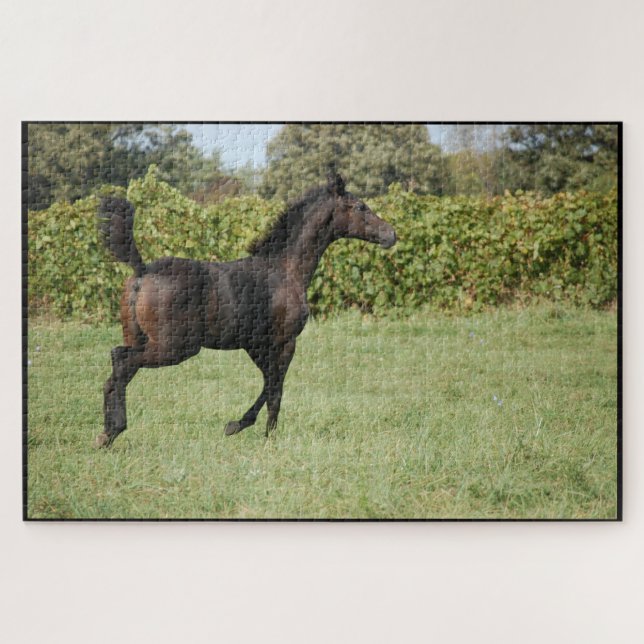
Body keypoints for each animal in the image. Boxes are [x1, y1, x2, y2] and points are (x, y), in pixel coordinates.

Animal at [95, 173, 397, 447]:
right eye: (360, 207)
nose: (391, 234)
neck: (285, 269)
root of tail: (142, 270)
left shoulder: (257, 345)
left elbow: (269, 384)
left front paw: (244, 426)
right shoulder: (285, 342)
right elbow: (275, 389)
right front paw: (258, 434)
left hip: (140, 338)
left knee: (117, 367)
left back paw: (106, 434)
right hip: (175, 347)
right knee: (121, 361)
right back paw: (112, 431)